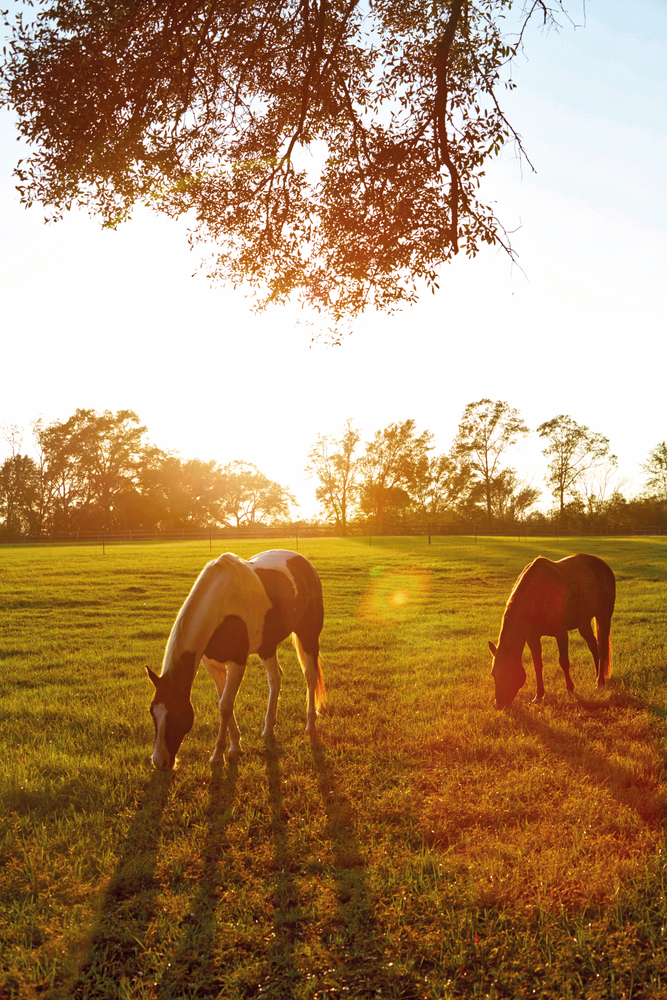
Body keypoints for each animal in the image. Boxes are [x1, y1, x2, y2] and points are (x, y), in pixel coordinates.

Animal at [146, 548, 326, 772]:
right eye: (152, 712)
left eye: (177, 714)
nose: (159, 762)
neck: (220, 603)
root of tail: (304, 562)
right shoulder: (212, 664)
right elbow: (224, 701)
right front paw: (235, 746)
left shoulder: (237, 662)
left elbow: (225, 705)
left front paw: (218, 756)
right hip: (267, 646)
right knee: (275, 678)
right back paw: (268, 728)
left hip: (308, 635)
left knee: (310, 676)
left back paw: (310, 724)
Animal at [488, 556, 620, 712]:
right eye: (493, 673)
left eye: (508, 673)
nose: (500, 704)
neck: (537, 595)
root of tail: (604, 566)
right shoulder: (532, 637)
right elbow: (537, 664)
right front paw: (538, 696)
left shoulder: (561, 633)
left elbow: (563, 662)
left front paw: (570, 690)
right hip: (583, 623)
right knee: (594, 646)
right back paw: (597, 676)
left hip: (603, 616)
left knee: (602, 648)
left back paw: (600, 682)